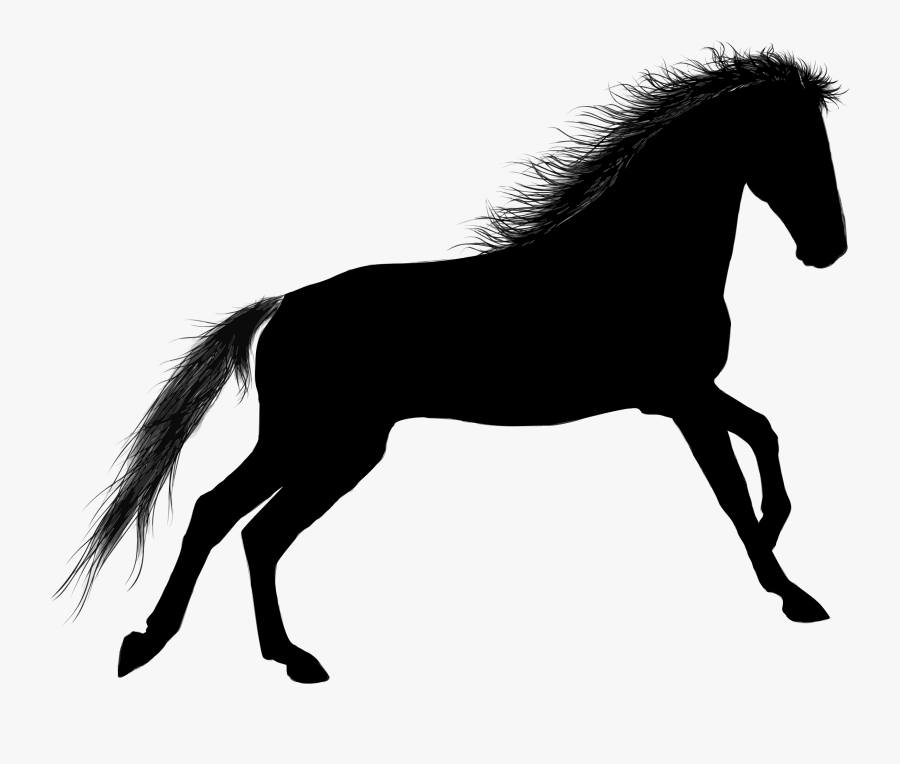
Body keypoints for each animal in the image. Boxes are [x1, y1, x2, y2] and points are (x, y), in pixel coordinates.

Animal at [58, 46, 848, 683]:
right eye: (795, 141)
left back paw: (261, 655)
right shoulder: (681, 398)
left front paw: (780, 537)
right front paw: (795, 595)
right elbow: (733, 492)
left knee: (244, 526)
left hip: (324, 444)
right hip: (324, 442)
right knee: (230, 518)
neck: (637, 260)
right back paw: (171, 645)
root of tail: (282, 307)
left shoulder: (687, 394)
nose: (829, 247)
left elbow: (765, 435)